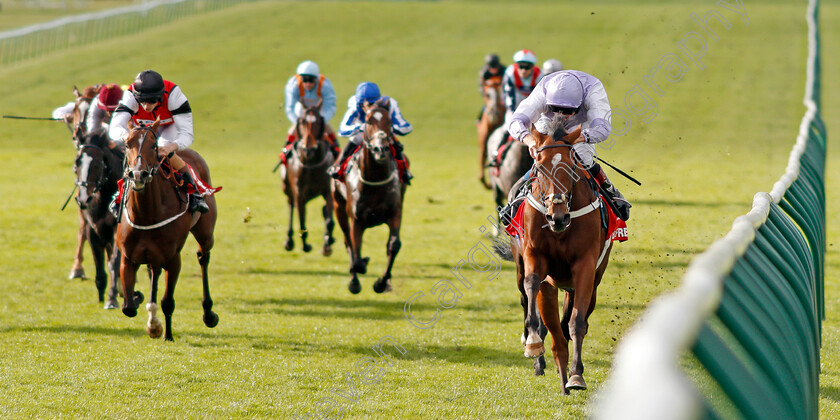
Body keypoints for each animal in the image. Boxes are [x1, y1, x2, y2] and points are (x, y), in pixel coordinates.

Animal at [74, 131, 123, 308]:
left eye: (97, 165)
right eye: (77, 163)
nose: (83, 199)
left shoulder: (117, 230)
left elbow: (114, 262)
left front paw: (111, 299)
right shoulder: (93, 230)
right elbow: (100, 264)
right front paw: (102, 296)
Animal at [116, 118, 218, 342]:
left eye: (154, 146)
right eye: (127, 144)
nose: (138, 174)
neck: (146, 214)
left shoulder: (173, 259)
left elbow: (167, 301)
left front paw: (166, 333)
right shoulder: (128, 258)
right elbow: (128, 307)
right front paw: (142, 305)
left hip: (205, 233)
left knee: (203, 257)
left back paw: (208, 313)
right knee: (154, 271)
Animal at [280, 104, 336, 256]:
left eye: (318, 121)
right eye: (302, 122)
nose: (308, 149)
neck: (311, 163)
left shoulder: (328, 191)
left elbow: (329, 221)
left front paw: (327, 245)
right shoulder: (299, 194)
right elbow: (302, 222)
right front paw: (306, 246)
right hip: (287, 188)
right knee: (290, 206)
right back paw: (289, 240)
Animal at [332, 100, 406, 294]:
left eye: (390, 121)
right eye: (367, 121)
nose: (381, 149)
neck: (375, 180)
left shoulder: (395, 212)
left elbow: (393, 245)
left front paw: (381, 283)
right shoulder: (356, 220)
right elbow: (356, 255)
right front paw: (360, 270)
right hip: (338, 207)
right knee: (348, 243)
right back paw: (354, 281)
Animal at [498, 124, 612, 394]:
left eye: (571, 166)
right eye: (539, 167)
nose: (556, 217)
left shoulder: (585, 267)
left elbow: (576, 322)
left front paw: (575, 375)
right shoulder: (536, 258)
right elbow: (532, 286)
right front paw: (533, 343)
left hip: (590, 281)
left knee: (572, 319)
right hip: (522, 266)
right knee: (527, 298)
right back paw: (539, 356)